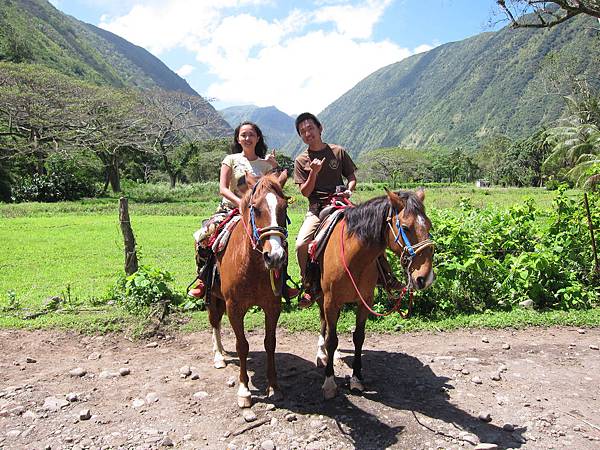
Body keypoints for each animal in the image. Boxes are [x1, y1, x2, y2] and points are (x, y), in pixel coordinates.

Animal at [207, 171, 290, 408]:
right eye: (256, 208)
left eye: (284, 207)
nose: (275, 256)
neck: (251, 265)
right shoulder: (235, 308)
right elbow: (242, 345)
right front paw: (244, 390)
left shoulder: (272, 306)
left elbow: (270, 343)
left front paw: (275, 387)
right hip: (211, 296)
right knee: (214, 321)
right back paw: (219, 356)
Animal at [314, 188, 436, 400]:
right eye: (406, 227)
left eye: (428, 225)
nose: (425, 278)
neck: (354, 258)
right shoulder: (331, 300)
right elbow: (332, 339)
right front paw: (329, 382)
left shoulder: (365, 301)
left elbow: (358, 337)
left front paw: (356, 378)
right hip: (323, 298)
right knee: (324, 324)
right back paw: (322, 354)